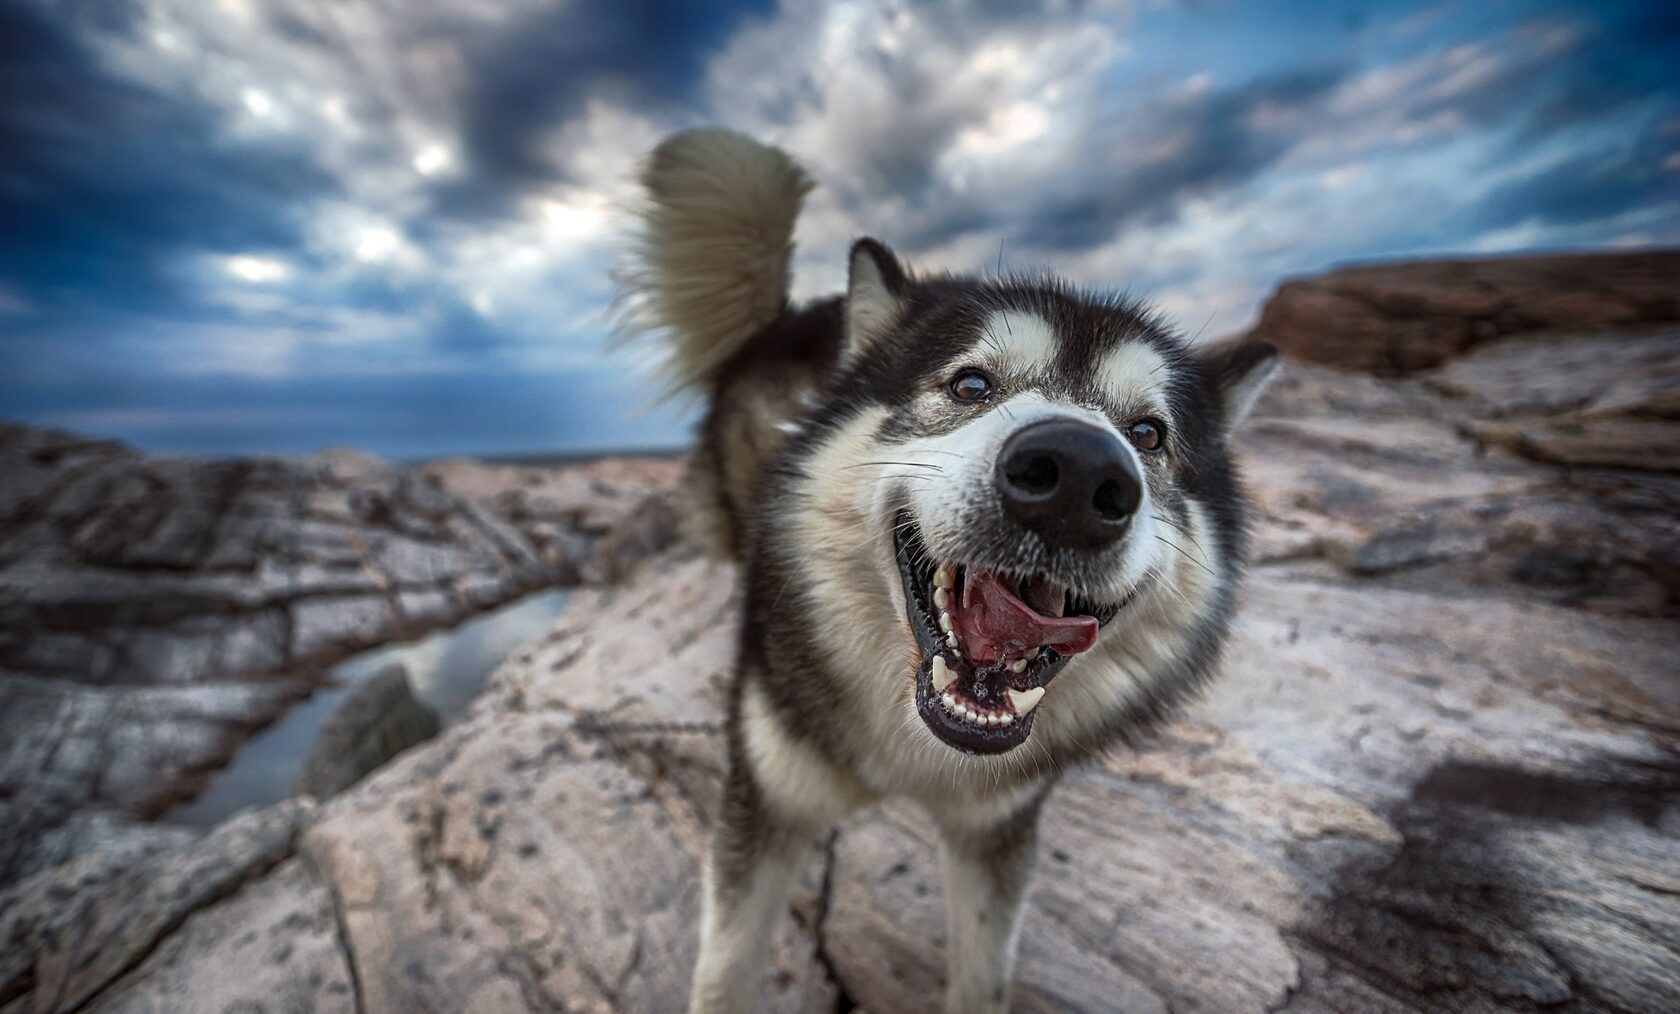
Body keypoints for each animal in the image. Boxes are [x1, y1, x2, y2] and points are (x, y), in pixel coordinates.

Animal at [618, 128, 1270, 1014]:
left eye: (1149, 433)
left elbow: (983, 976)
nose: (1075, 477)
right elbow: (726, 973)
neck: (913, 746)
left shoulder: (997, 828)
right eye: (969, 383)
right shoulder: (767, 806)